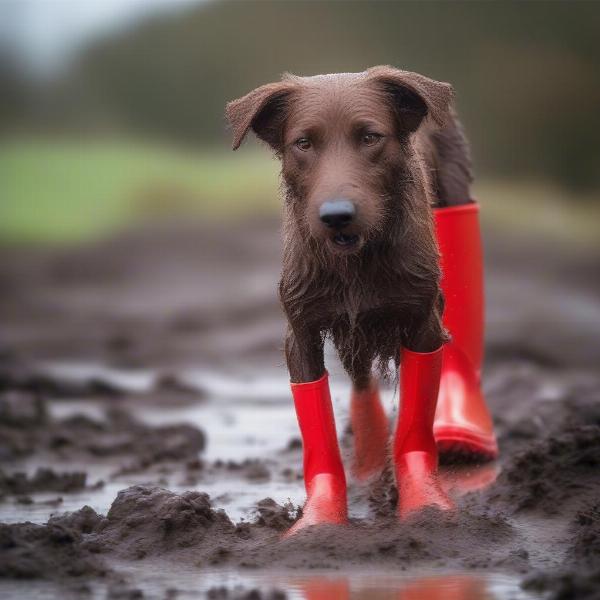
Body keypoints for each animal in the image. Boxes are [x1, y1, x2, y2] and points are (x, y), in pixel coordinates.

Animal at [226, 67, 474, 390]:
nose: (336, 216)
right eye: (303, 143)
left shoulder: (424, 323)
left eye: (370, 137)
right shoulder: (301, 330)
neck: (355, 263)